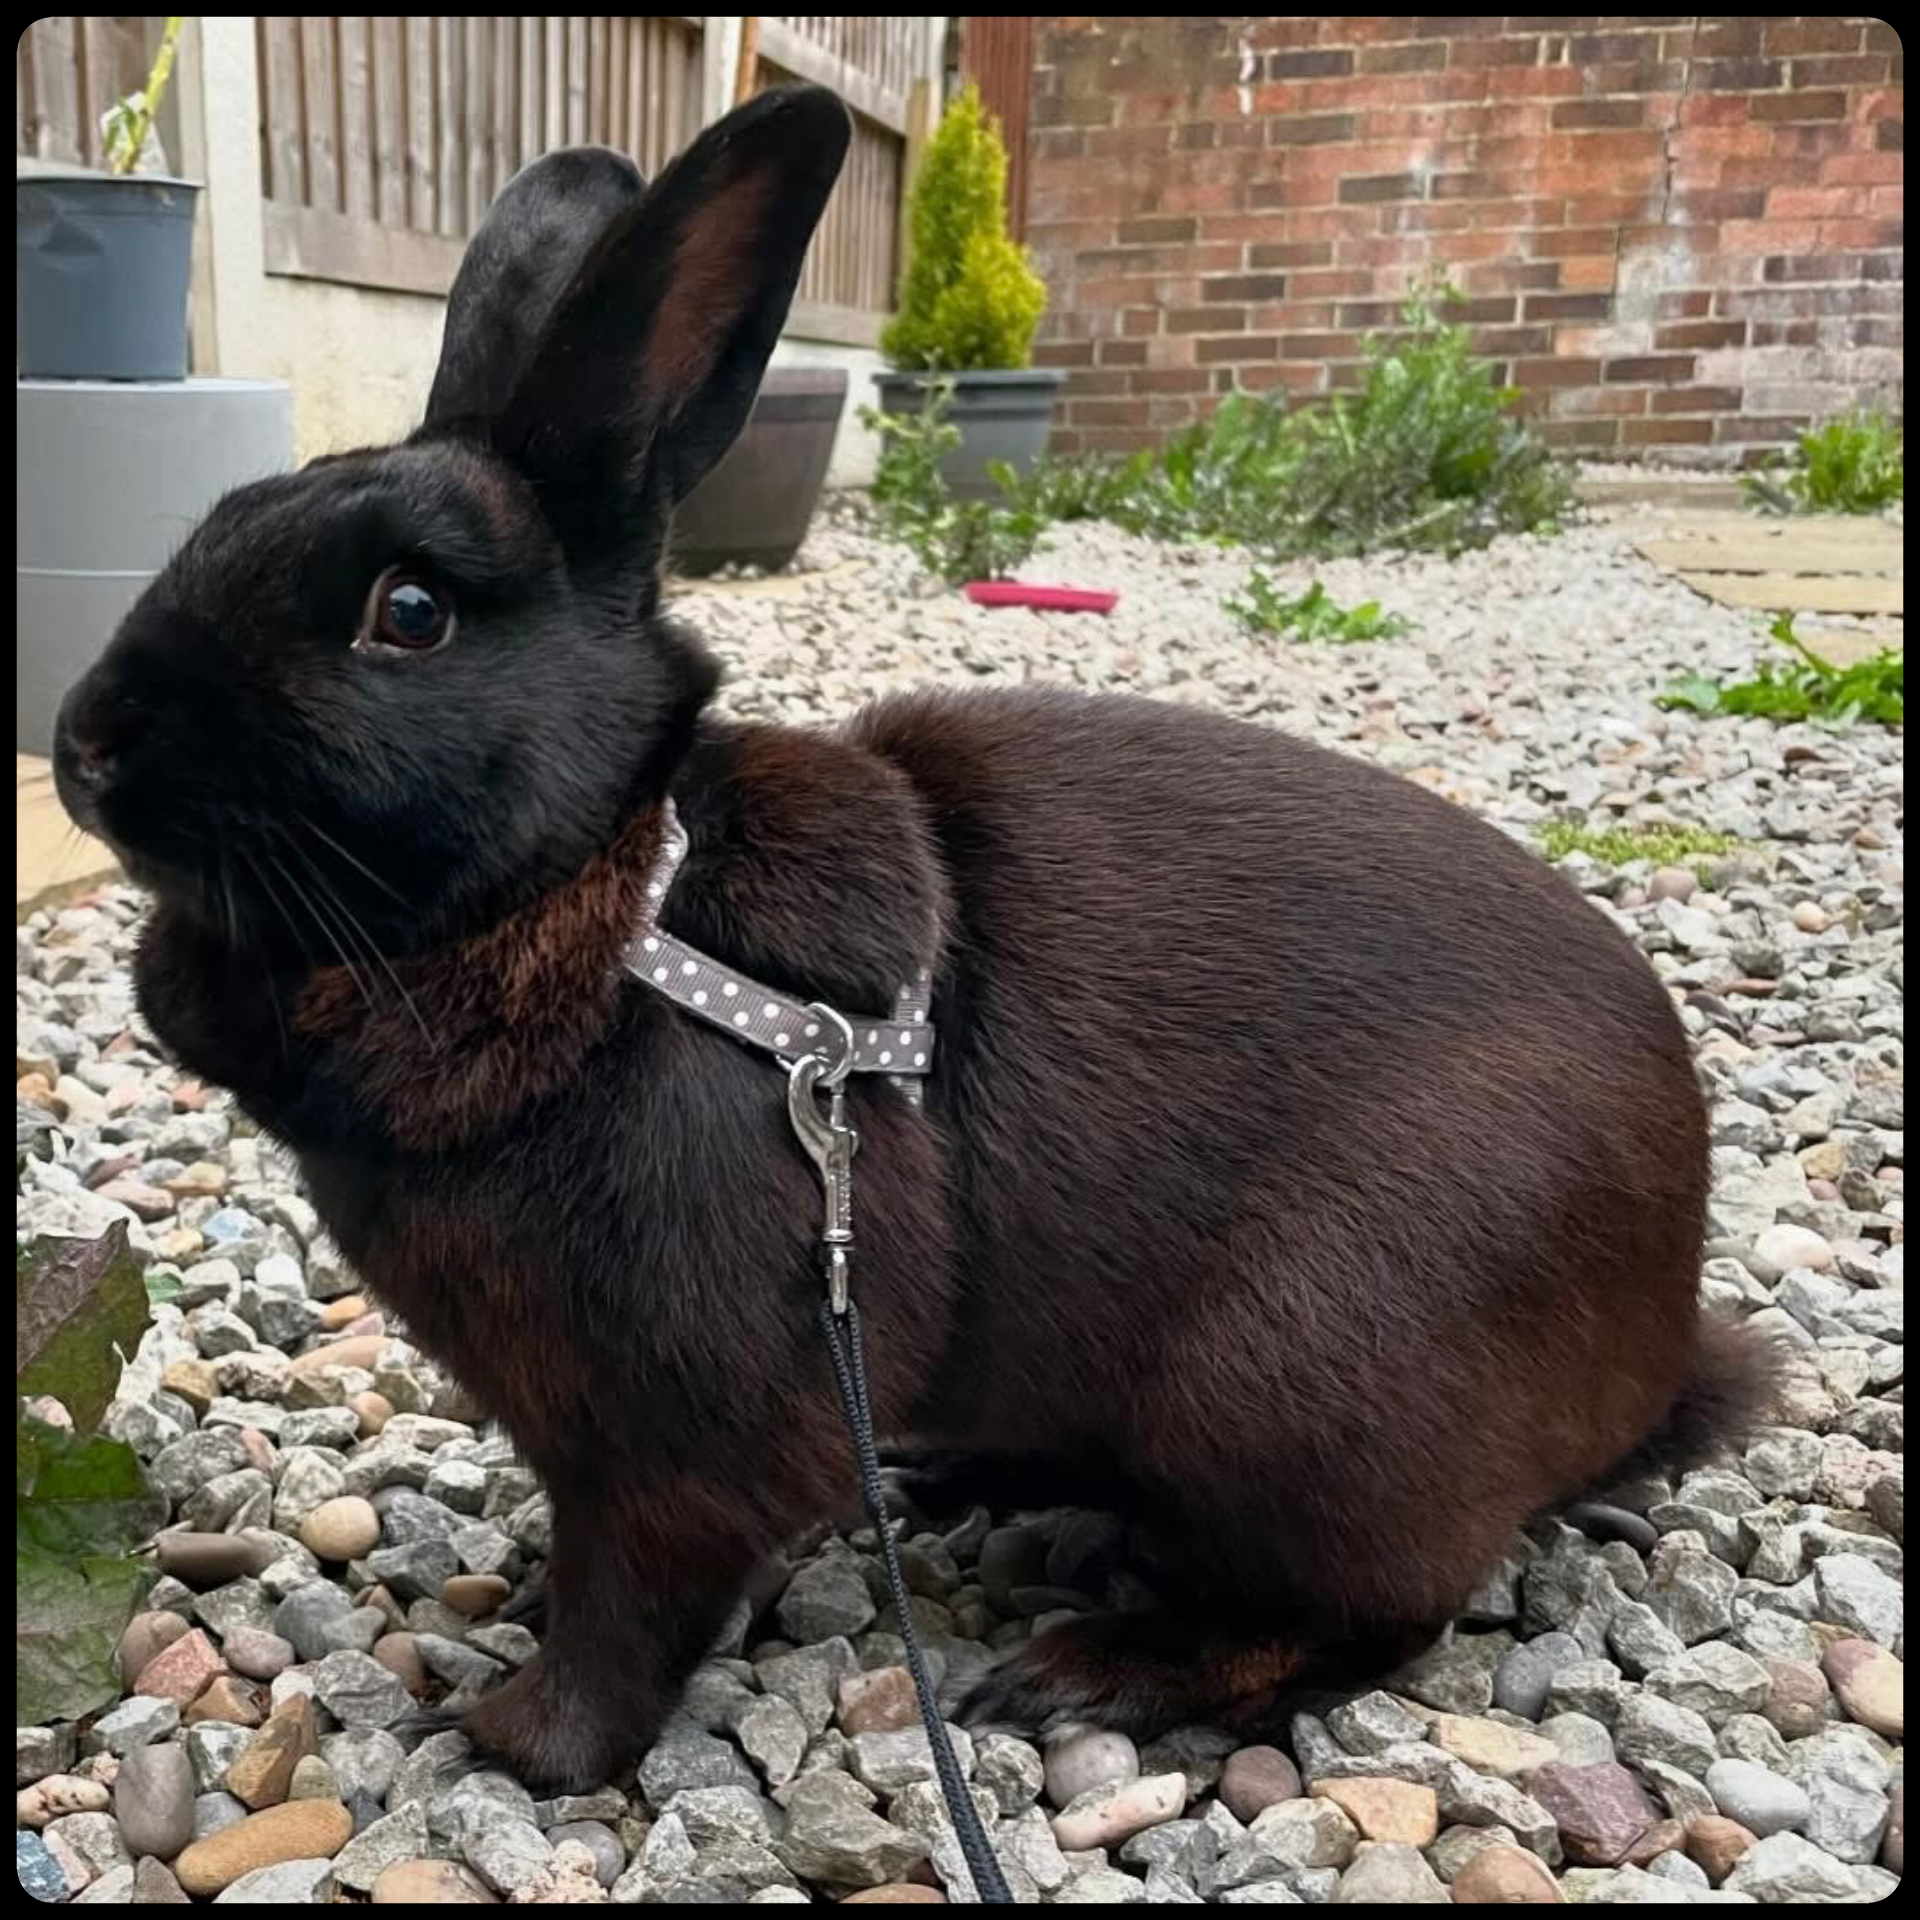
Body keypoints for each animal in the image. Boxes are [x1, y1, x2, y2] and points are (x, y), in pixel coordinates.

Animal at [54, 84, 1772, 1793]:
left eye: (406, 614)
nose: (86, 747)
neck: (616, 900)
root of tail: (1657, 1347)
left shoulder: (674, 1435)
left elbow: (633, 1602)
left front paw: (511, 1741)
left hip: (1304, 1391)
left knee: (1367, 1617)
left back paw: (1092, 1674)